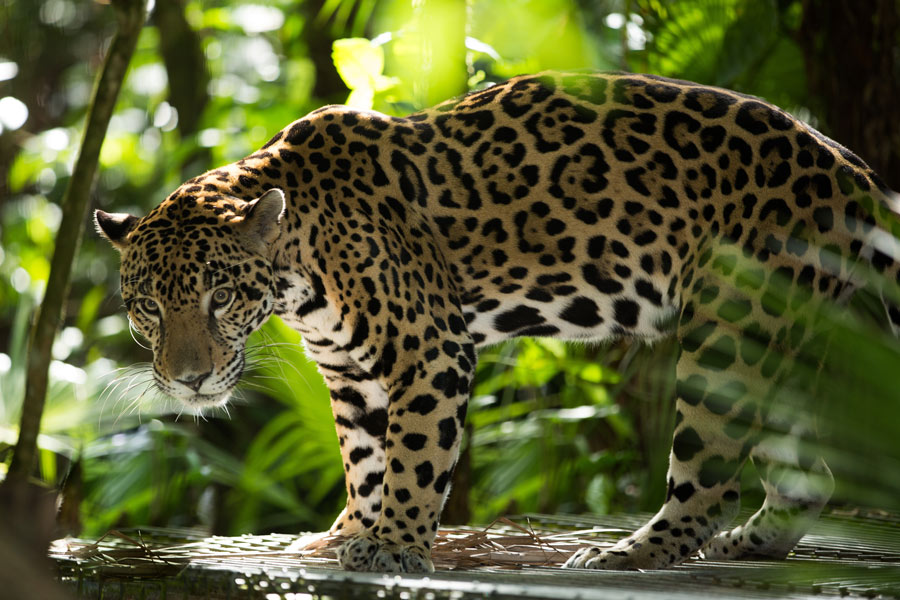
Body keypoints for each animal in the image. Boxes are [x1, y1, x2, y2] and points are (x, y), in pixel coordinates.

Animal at [95, 71, 900, 573]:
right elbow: (364, 460)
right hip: (791, 340)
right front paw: (347, 535)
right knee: (813, 475)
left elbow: (414, 458)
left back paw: (628, 555)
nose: (190, 380)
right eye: (148, 307)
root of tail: (851, 168)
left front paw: (394, 545)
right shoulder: (350, 377)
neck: (299, 265)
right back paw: (746, 545)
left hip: (731, 337)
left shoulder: (429, 349)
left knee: (707, 479)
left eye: (219, 296)